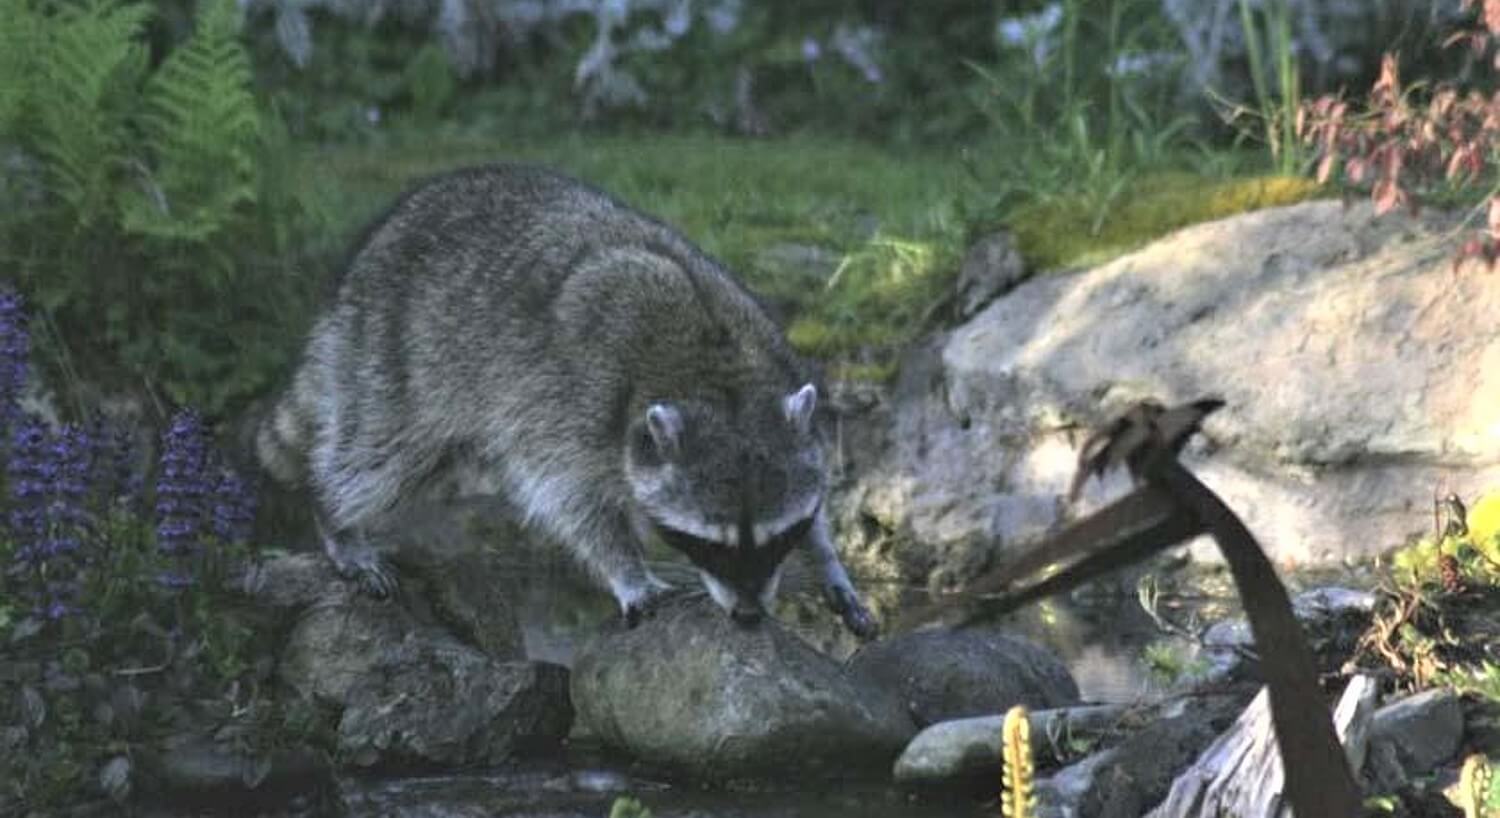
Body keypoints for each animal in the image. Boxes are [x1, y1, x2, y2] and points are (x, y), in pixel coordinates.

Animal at [252, 164, 876, 636]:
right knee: (378, 456)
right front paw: (626, 571)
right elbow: (572, 501)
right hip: (398, 355)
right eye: (712, 546)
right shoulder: (569, 404)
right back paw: (336, 517)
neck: (719, 377)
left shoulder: (778, 364)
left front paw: (826, 558)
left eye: (776, 538)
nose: (747, 616)